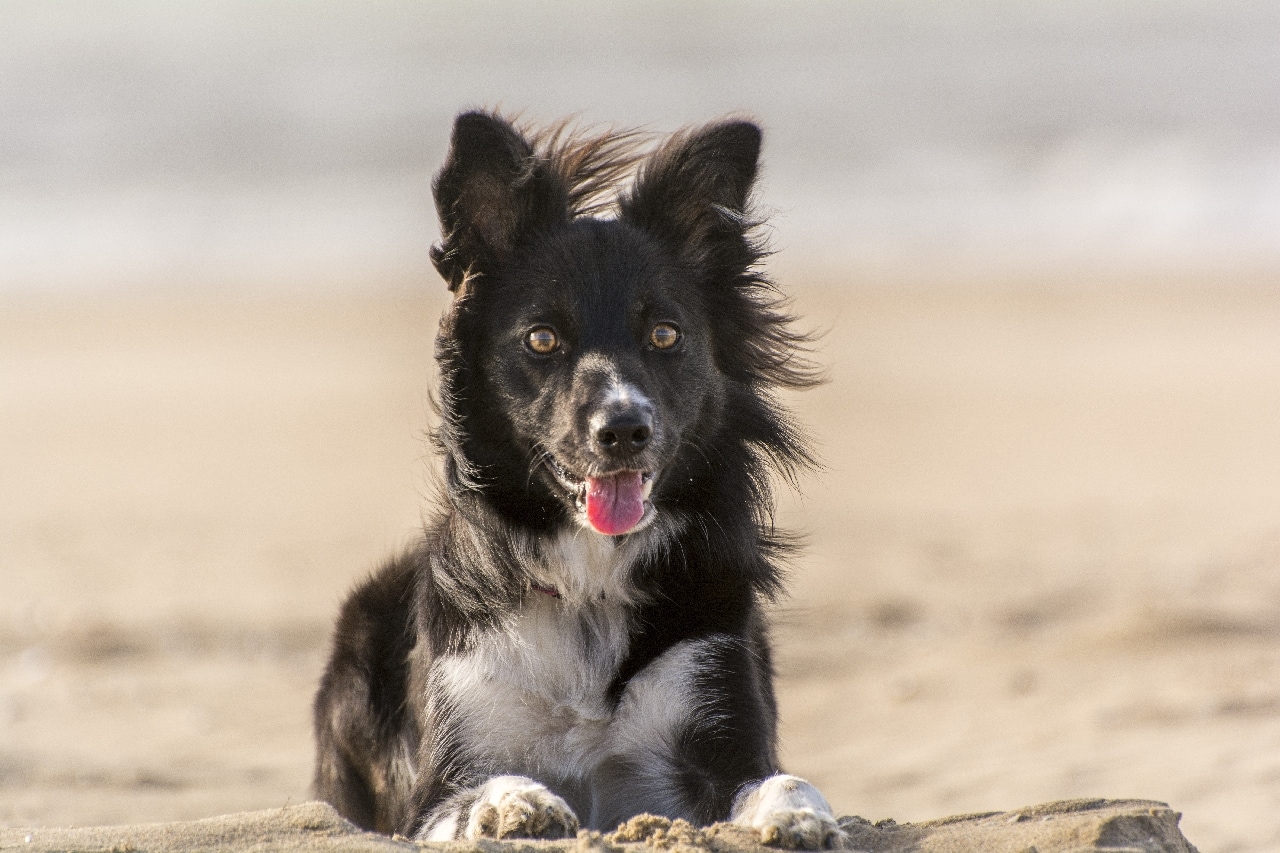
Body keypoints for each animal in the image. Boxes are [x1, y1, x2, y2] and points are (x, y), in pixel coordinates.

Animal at [312, 111, 839, 845]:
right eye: (541, 339)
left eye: (666, 335)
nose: (623, 429)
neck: (589, 583)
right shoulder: (436, 782)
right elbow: (472, 792)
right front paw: (511, 804)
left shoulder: (718, 721)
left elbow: (779, 778)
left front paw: (799, 813)